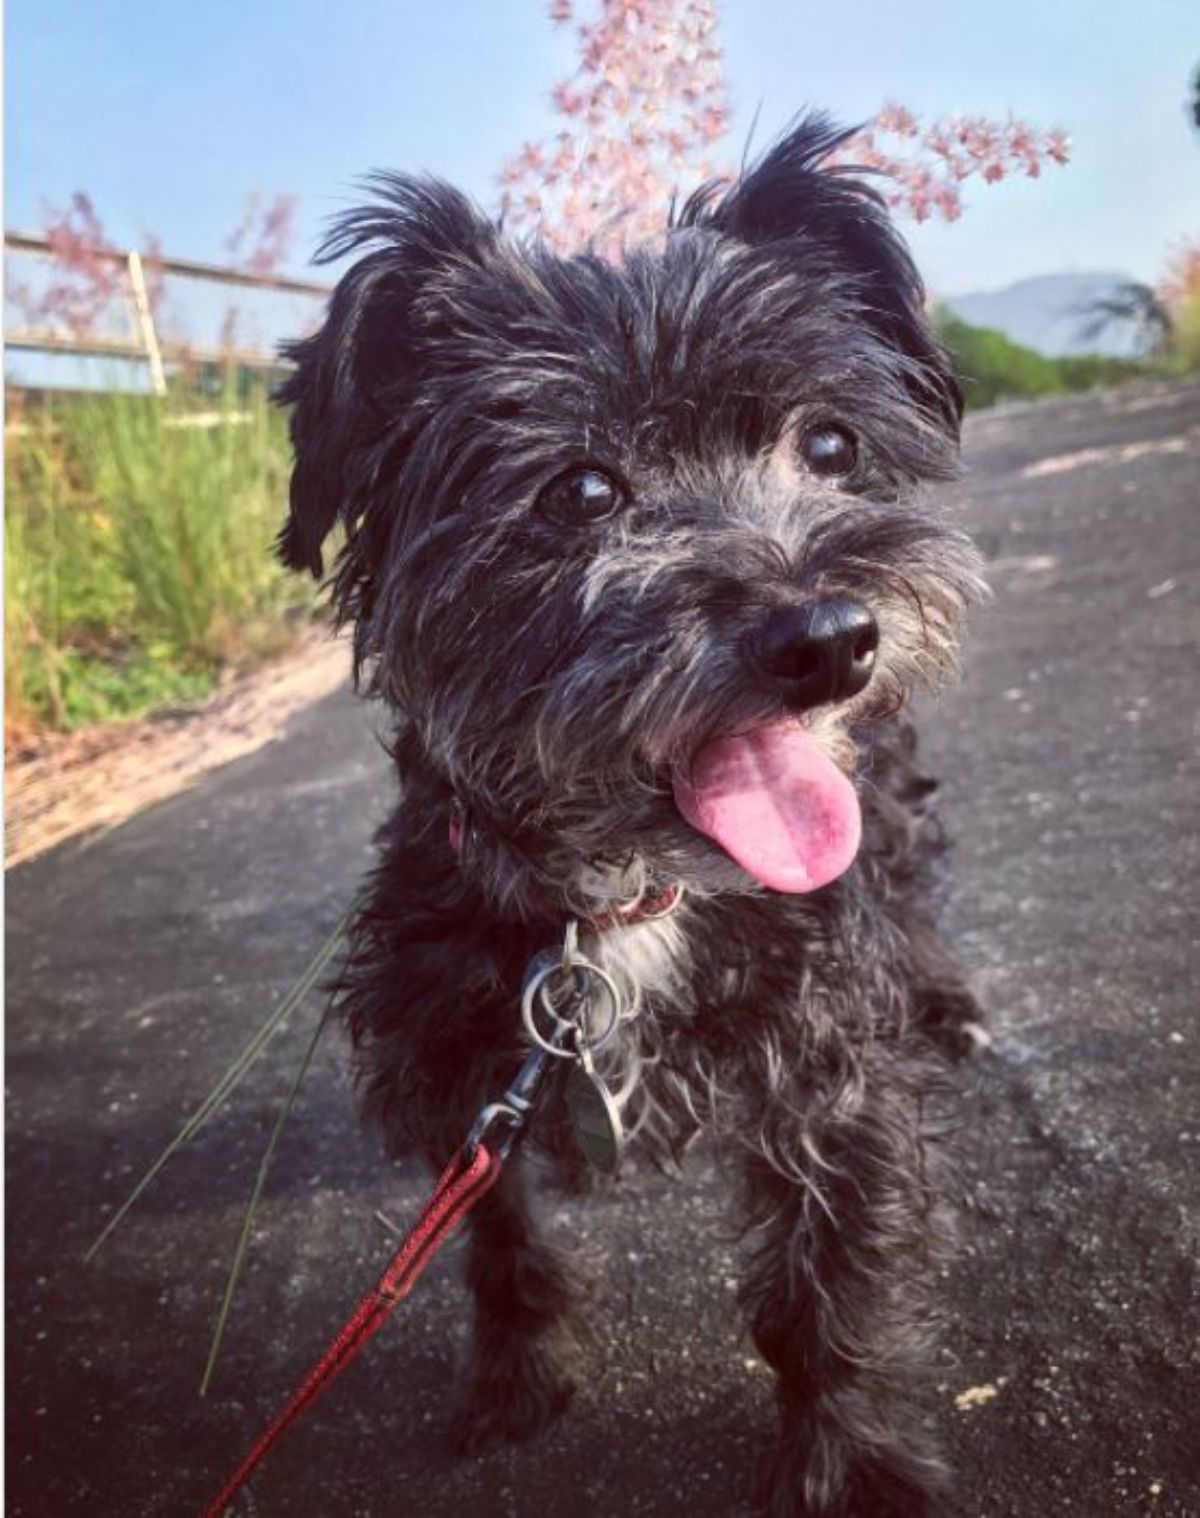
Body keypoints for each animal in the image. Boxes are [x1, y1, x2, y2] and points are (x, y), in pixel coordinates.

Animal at [279, 112, 983, 1511]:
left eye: (831, 446)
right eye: (583, 491)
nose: (831, 641)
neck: (620, 904)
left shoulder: (824, 1062)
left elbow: (828, 1281)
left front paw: (855, 1463)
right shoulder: (461, 1060)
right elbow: (497, 1240)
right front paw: (516, 1376)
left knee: (913, 889)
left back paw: (943, 998)